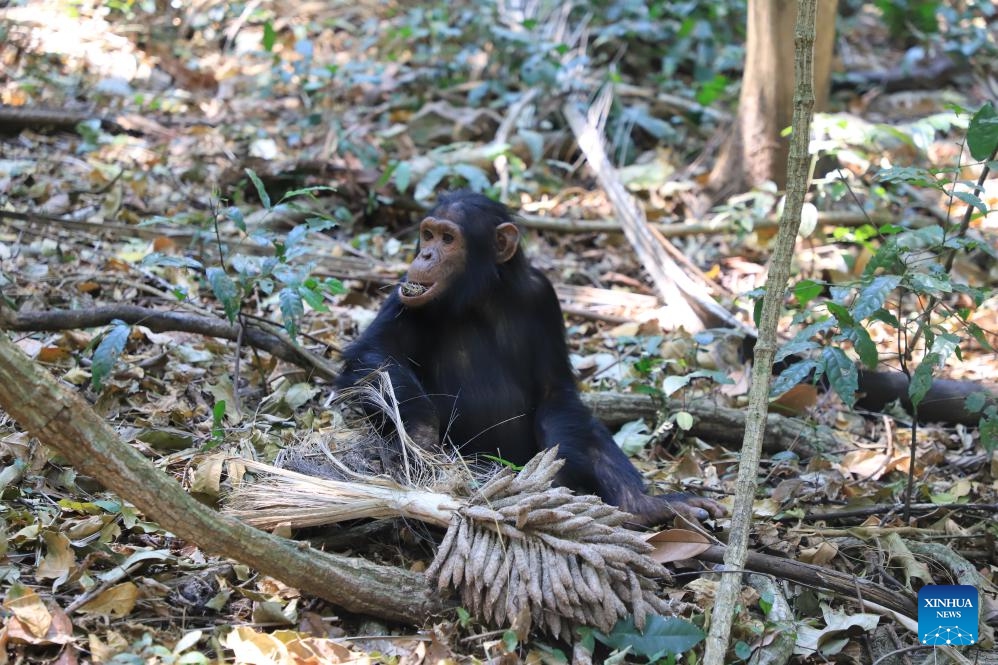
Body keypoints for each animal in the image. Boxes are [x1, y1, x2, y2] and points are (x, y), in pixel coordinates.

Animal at [340, 188, 724, 524]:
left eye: (447, 239)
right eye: (428, 234)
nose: (425, 255)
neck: (480, 296)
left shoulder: (543, 295)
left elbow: (554, 391)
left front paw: (556, 475)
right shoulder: (406, 292)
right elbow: (374, 352)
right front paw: (419, 435)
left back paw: (644, 506)